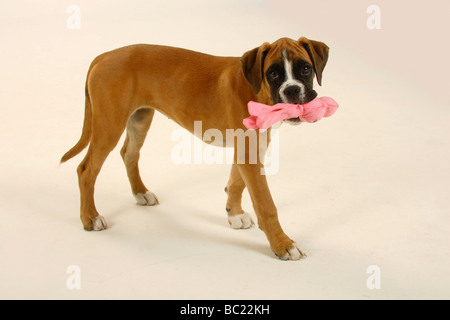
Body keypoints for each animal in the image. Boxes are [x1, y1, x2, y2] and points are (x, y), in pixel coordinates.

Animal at [61, 36, 328, 260]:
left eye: (305, 68)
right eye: (273, 73)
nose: (292, 90)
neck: (256, 88)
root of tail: (106, 55)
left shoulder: (249, 148)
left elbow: (236, 182)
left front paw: (234, 214)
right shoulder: (249, 154)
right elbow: (266, 203)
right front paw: (283, 244)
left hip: (139, 118)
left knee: (129, 153)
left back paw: (141, 193)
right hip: (109, 125)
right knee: (86, 170)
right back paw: (90, 218)